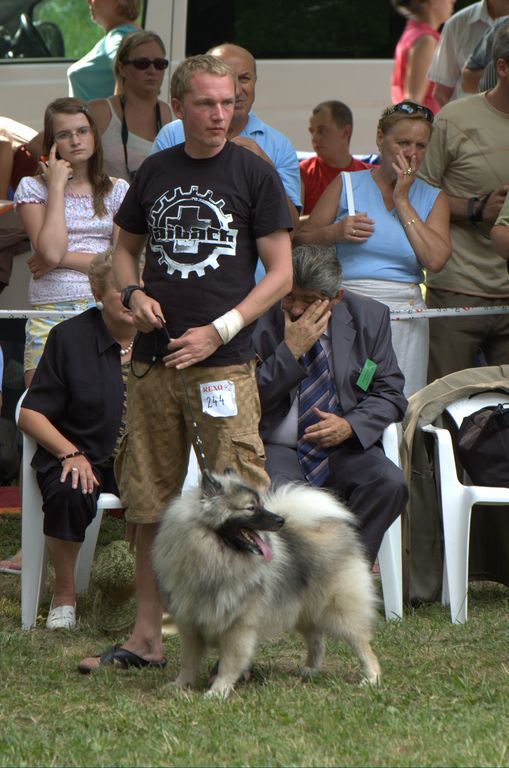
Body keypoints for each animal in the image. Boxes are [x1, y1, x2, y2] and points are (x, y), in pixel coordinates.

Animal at [153, 468, 380, 696]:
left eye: (261, 505)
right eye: (251, 508)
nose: (280, 520)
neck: (214, 556)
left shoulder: (238, 627)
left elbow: (228, 663)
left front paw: (218, 691)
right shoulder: (190, 625)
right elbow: (188, 661)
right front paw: (180, 685)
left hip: (341, 611)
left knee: (362, 644)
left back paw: (372, 678)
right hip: (301, 610)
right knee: (317, 640)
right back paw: (310, 670)